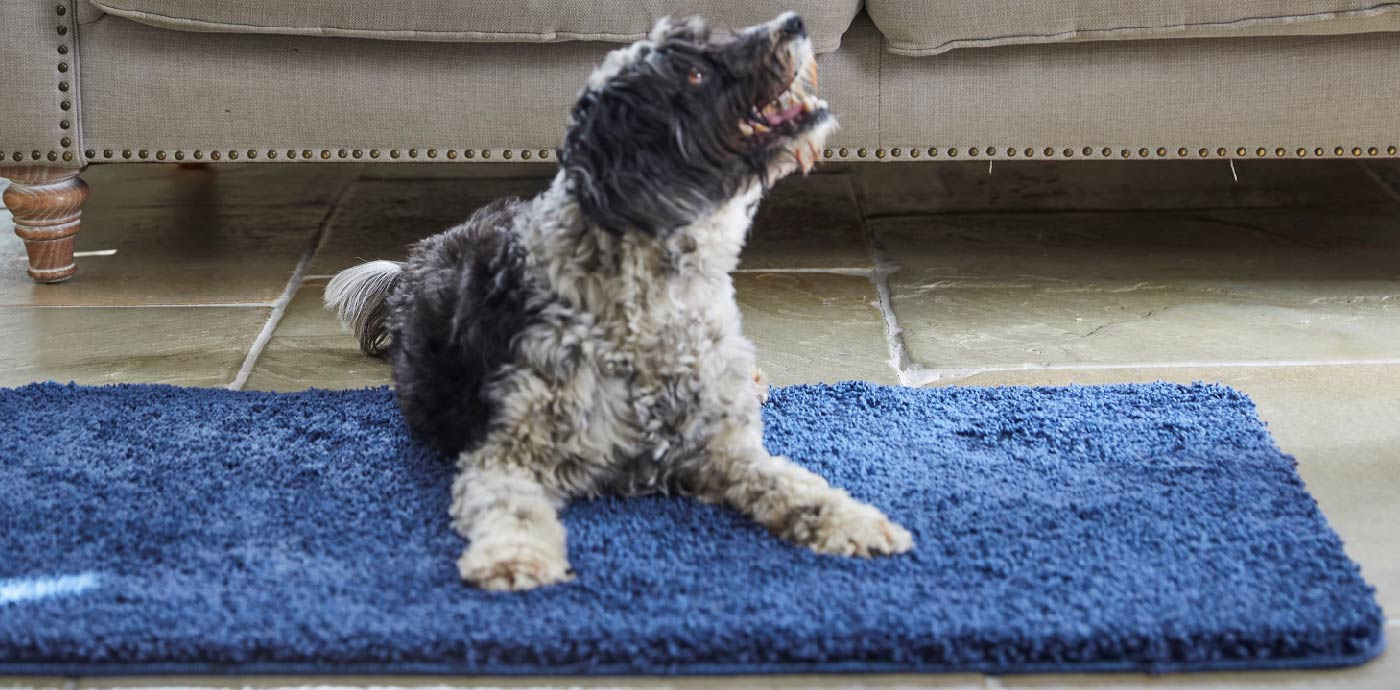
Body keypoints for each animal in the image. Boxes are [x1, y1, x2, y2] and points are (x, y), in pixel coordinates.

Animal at [329, 12, 918, 590]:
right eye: (693, 74)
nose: (795, 21)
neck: (653, 303)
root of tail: (412, 265)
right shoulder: (509, 452)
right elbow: (510, 509)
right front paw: (514, 561)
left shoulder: (718, 445)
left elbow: (794, 482)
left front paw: (855, 521)